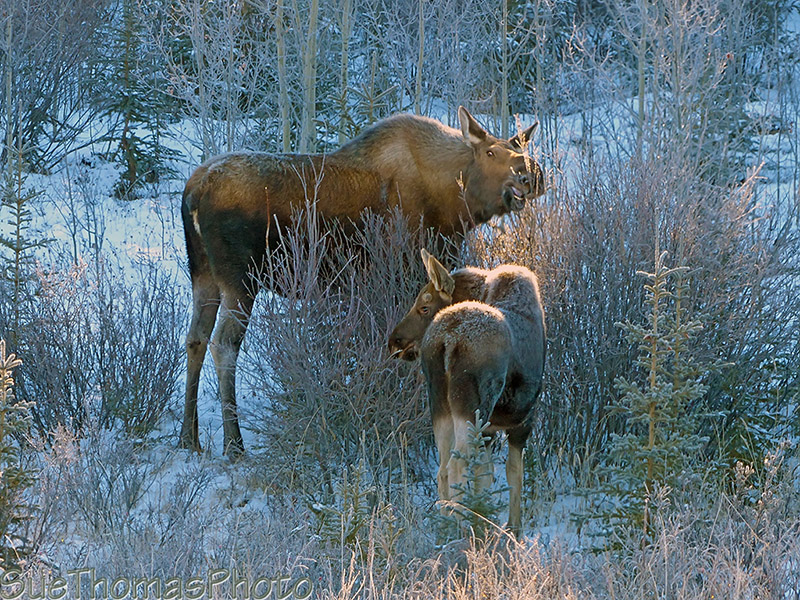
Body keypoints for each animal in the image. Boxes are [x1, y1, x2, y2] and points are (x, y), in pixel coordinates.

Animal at [179, 107, 544, 458]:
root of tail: (193, 193)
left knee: (195, 338)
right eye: (491, 152)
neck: (456, 205)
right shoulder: (404, 272)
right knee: (223, 343)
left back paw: (188, 437)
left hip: (203, 274)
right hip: (240, 280)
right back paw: (234, 444)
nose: (532, 173)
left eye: (519, 149)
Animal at [388, 249, 546, 537]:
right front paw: (513, 528)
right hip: (471, 406)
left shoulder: (491, 429)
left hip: (439, 403)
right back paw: (459, 525)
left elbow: (485, 473)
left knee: (442, 468)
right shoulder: (523, 418)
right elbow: (513, 474)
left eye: (424, 306)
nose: (394, 342)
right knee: (457, 465)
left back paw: (446, 526)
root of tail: (448, 340)